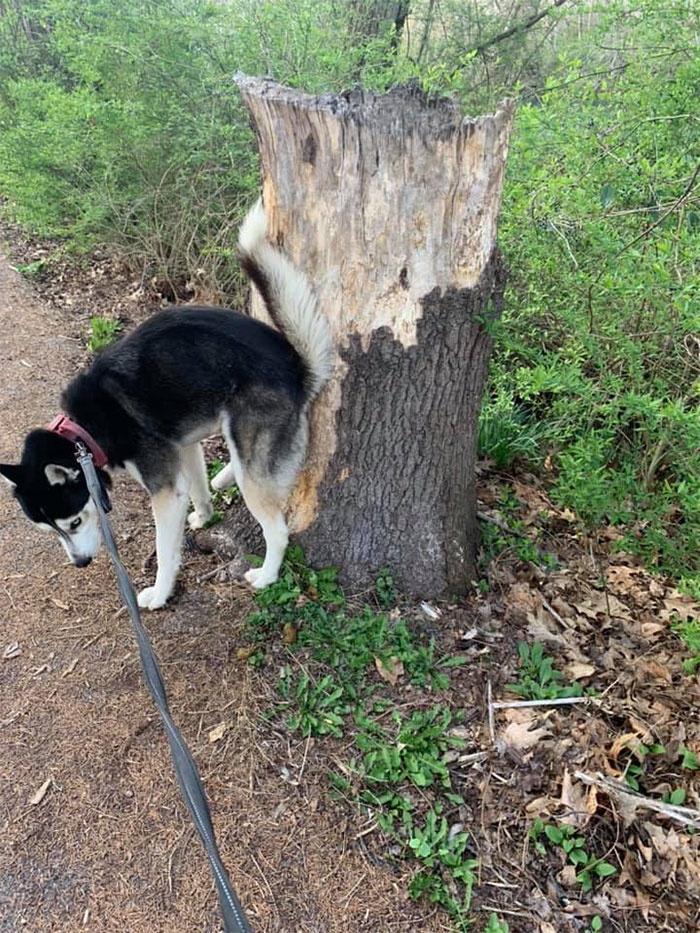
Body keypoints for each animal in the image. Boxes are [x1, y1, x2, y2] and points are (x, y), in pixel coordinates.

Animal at [0, 200, 334, 608]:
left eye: (75, 522)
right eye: (50, 530)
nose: (80, 563)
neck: (85, 430)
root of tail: (297, 368)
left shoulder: (165, 492)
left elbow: (165, 549)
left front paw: (159, 593)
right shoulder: (184, 447)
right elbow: (198, 488)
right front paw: (204, 516)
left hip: (252, 456)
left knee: (277, 529)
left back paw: (266, 575)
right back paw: (225, 478)